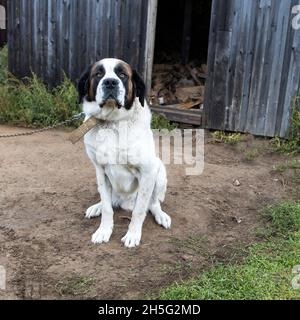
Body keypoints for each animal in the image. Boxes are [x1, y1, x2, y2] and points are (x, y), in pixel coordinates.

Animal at [77, 58, 171, 248]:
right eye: (98, 74)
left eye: (122, 74)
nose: (110, 82)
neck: (112, 123)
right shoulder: (100, 171)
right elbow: (107, 208)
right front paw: (103, 231)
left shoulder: (148, 171)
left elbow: (140, 211)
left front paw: (132, 235)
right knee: (109, 200)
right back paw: (97, 207)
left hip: (159, 171)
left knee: (153, 203)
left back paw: (161, 216)